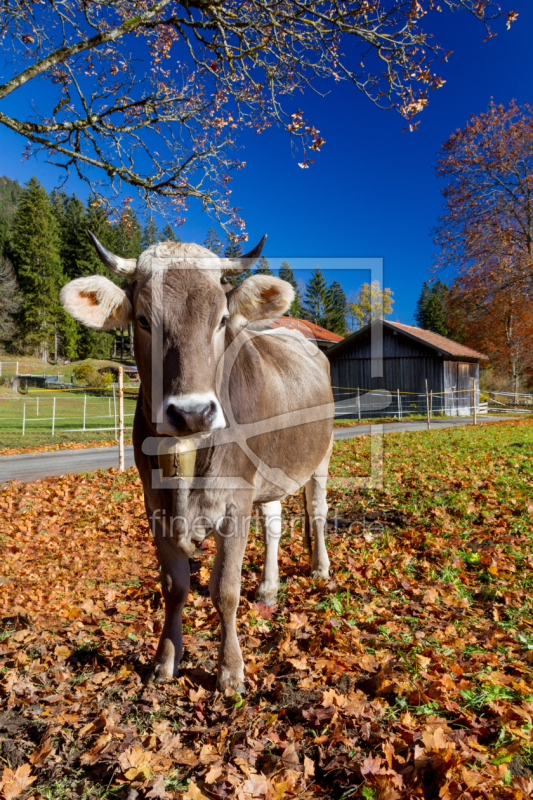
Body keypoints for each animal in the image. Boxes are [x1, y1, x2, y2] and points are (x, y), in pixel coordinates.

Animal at [61, 233, 332, 692]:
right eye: (144, 320)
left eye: (221, 320)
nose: (192, 413)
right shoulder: (155, 505)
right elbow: (174, 586)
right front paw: (166, 659)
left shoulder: (235, 501)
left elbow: (224, 589)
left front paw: (230, 671)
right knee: (274, 522)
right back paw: (269, 587)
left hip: (320, 458)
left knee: (316, 510)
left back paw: (320, 568)